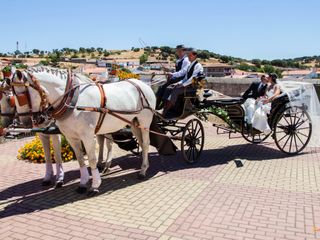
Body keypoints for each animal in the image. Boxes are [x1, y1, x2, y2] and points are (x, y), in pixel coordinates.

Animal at [10, 66, 155, 194]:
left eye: (21, 95)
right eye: (12, 96)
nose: (26, 122)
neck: (73, 100)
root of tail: (144, 85)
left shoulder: (87, 136)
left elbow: (91, 159)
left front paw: (95, 185)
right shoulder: (71, 137)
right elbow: (80, 158)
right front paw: (83, 183)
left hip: (145, 122)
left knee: (146, 144)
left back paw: (143, 170)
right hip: (134, 123)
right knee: (140, 143)